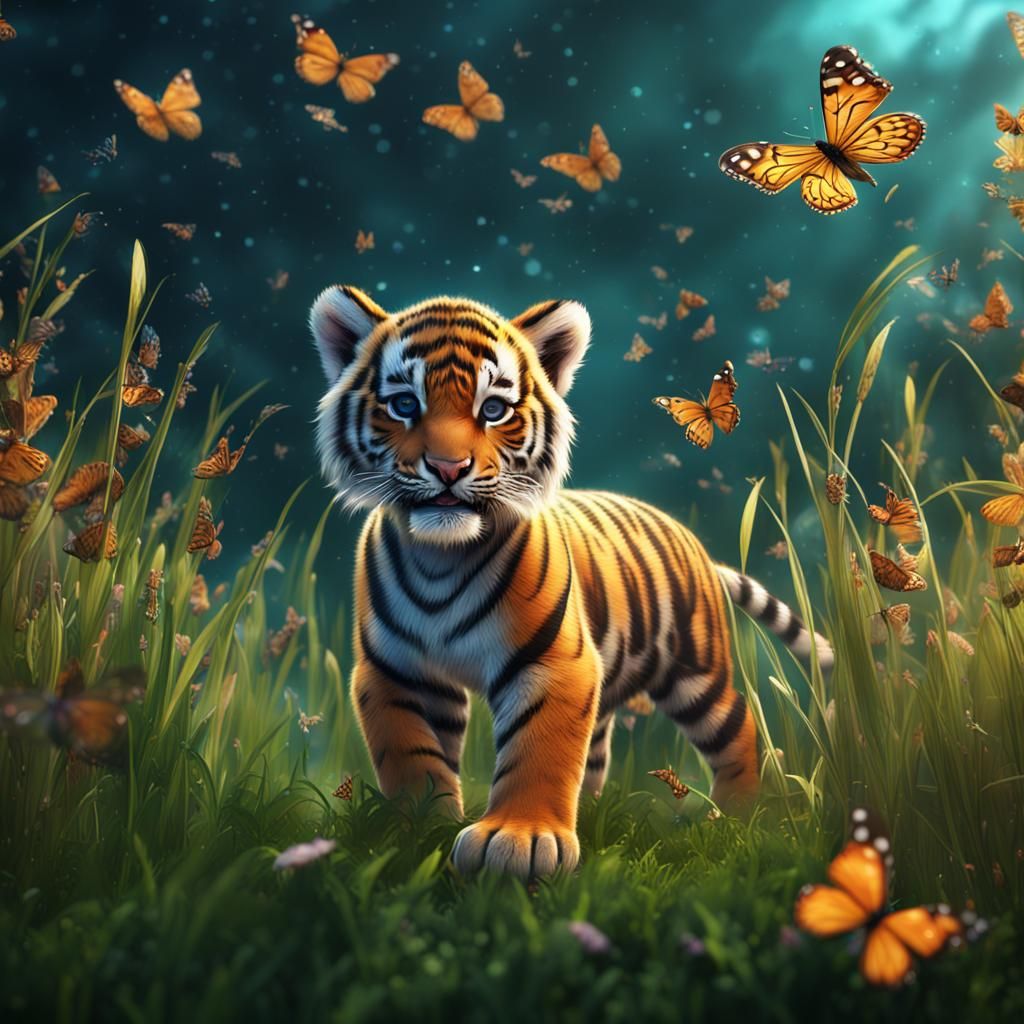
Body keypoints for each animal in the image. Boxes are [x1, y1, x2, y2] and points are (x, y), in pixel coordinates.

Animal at [310, 286, 834, 879]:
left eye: (493, 409)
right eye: (404, 404)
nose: (447, 468)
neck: (440, 556)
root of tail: (695, 542)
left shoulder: (555, 661)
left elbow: (538, 748)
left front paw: (521, 839)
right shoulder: (395, 672)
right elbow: (411, 755)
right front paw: (418, 829)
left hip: (696, 672)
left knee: (739, 726)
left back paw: (740, 820)